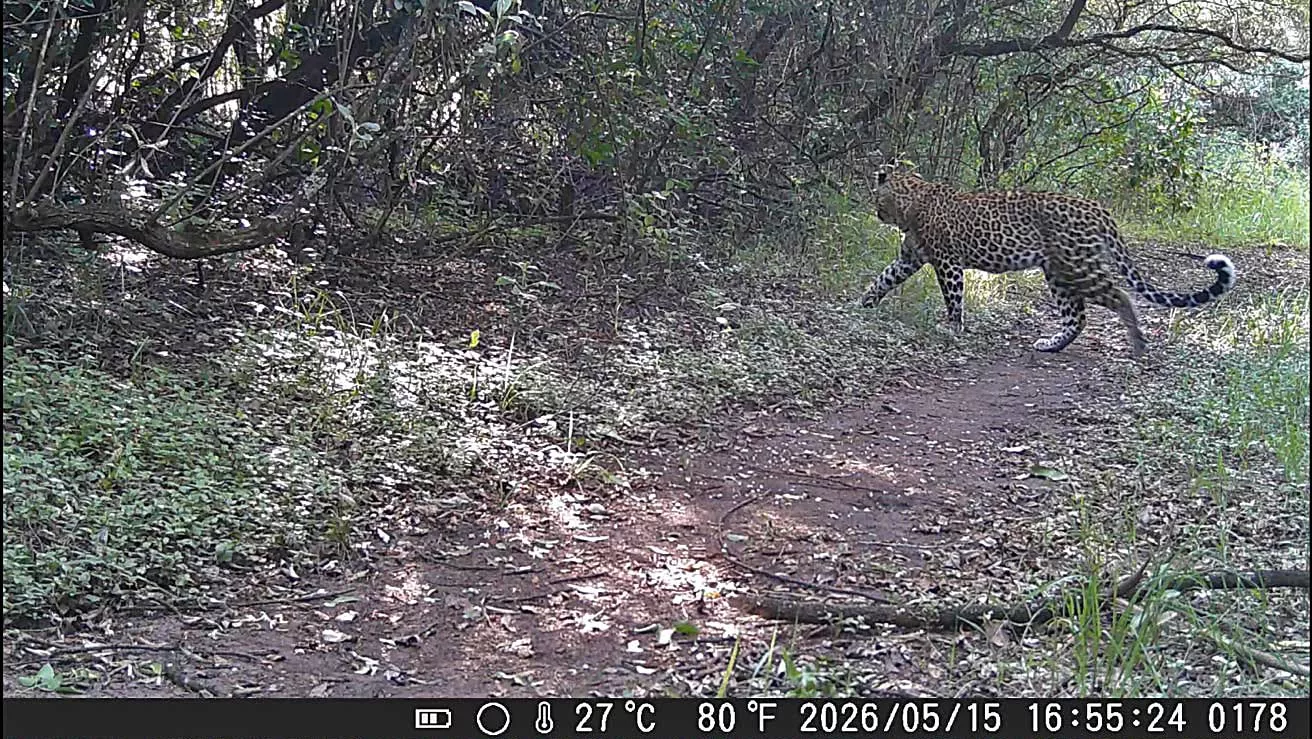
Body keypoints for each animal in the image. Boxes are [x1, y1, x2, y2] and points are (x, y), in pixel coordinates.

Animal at [857, 169, 1236, 358]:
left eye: (875, 195)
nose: (874, 212)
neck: (912, 201)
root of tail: (1098, 208)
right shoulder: (909, 259)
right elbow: (882, 279)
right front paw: (860, 307)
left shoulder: (947, 263)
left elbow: (953, 299)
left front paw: (952, 329)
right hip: (1058, 273)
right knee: (1078, 316)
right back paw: (1052, 345)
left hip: (1077, 266)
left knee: (1120, 296)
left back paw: (1138, 344)